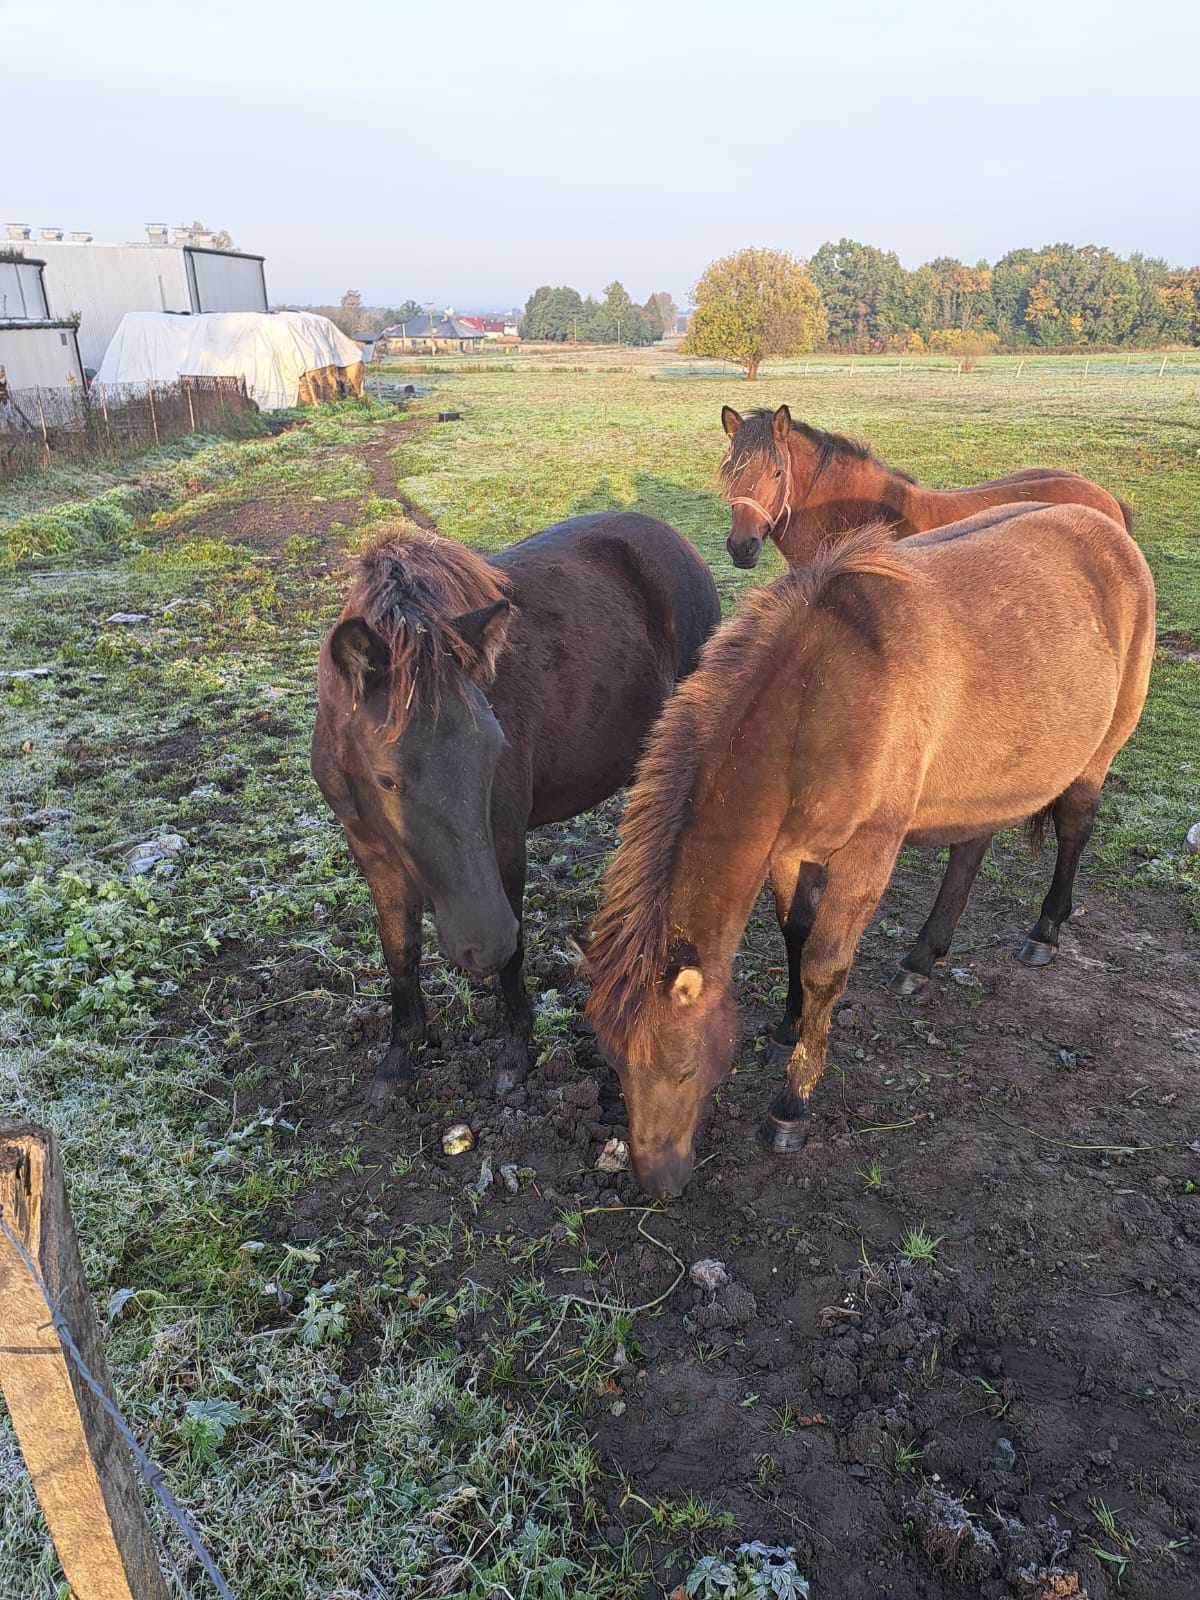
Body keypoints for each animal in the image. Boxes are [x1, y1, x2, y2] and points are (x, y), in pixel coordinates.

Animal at [315, 518, 720, 1107]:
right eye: (388, 778)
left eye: (493, 751)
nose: (480, 944)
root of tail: (676, 539)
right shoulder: (369, 851)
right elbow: (400, 949)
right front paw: (398, 1057)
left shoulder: (504, 842)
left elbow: (516, 943)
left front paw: (514, 1050)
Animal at [588, 505, 1158, 1196]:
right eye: (616, 1065)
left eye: (682, 1068)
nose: (659, 1181)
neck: (818, 694)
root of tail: (1110, 531)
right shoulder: (790, 850)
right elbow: (796, 934)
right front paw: (787, 1027)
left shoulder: (868, 852)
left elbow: (825, 965)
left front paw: (792, 1105)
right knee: (970, 848)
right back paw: (922, 958)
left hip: (1097, 757)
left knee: (1074, 829)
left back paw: (1045, 933)